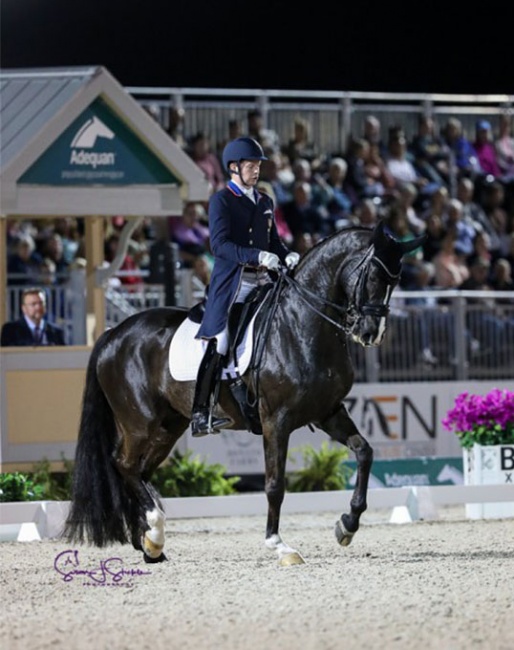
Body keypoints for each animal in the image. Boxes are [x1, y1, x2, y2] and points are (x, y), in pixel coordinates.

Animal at [64, 221, 422, 560]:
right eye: (373, 275)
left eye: (396, 281)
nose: (371, 333)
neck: (301, 324)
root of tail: (112, 334)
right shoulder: (276, 421)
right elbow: (275, 484)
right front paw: (278, 545)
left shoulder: (328, 411)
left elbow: (364, 452)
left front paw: (347, 525)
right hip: (139, 423)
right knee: (124, 465)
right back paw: (154, 530)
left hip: (167, 427)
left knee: (140, 471)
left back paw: (150, 542)